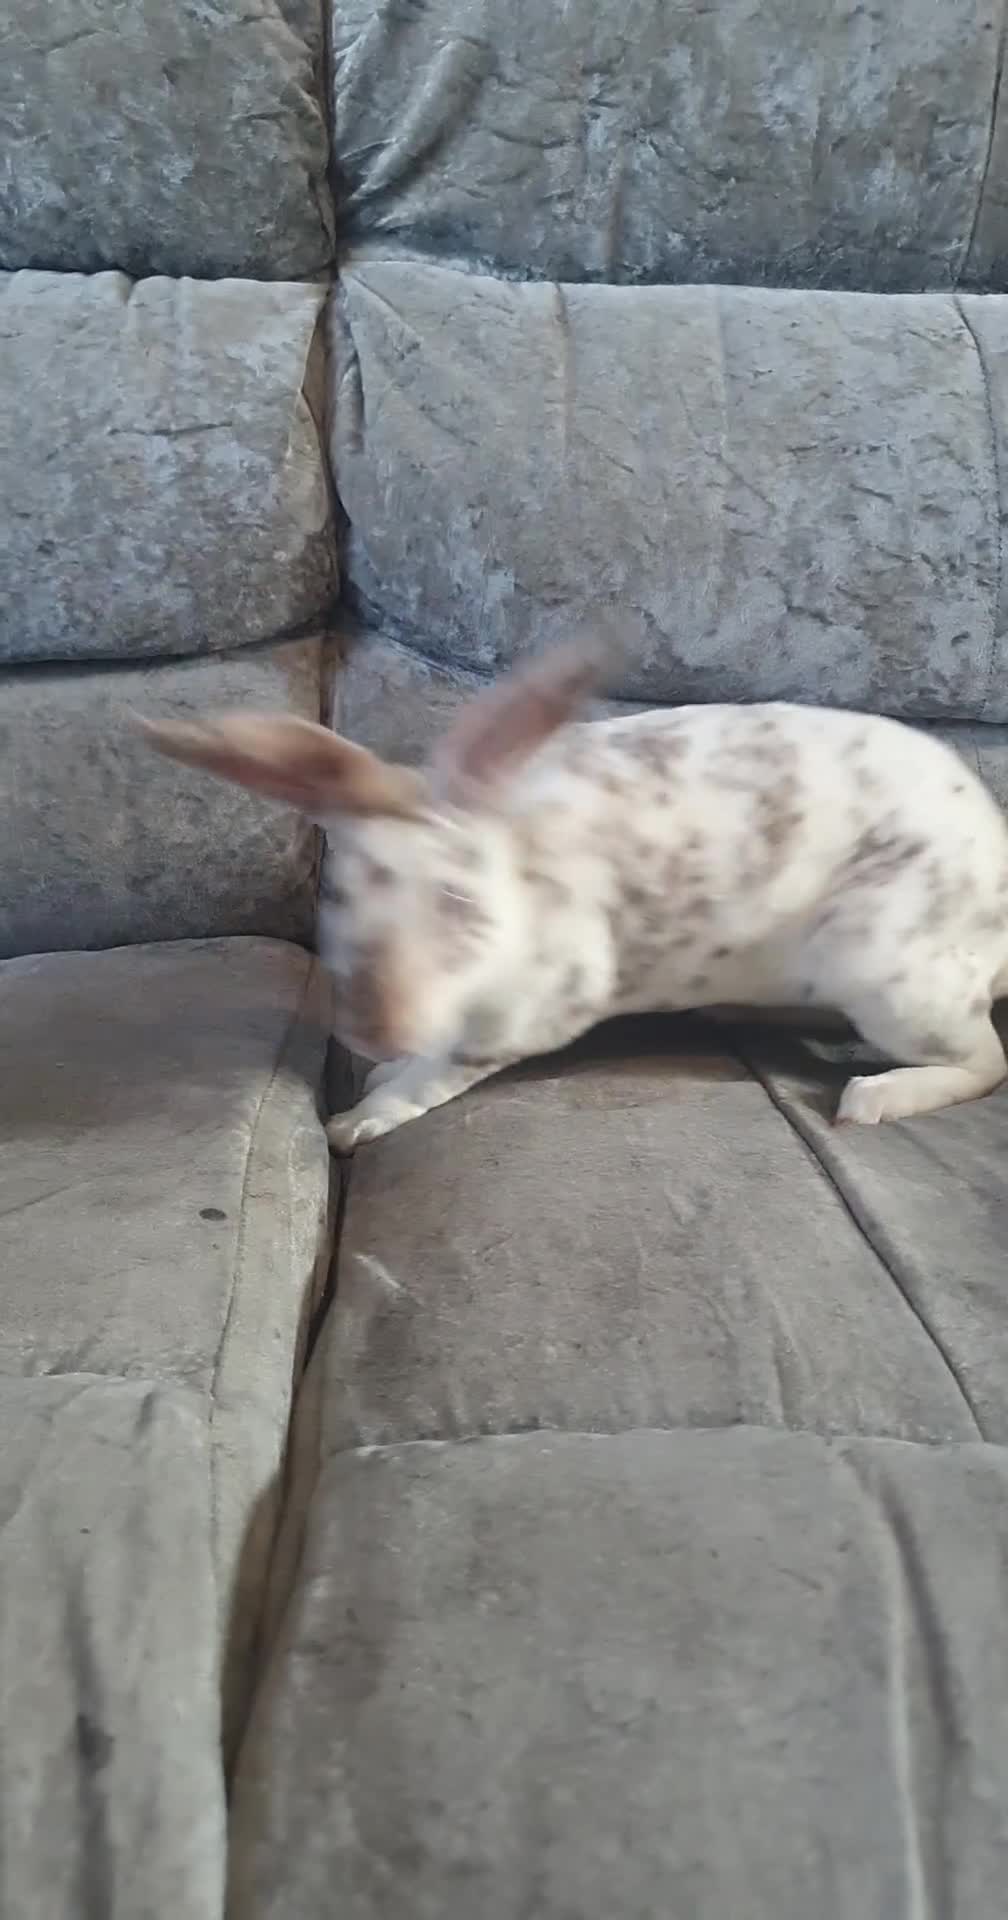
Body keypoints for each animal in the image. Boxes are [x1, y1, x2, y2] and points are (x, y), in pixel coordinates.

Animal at [138, 640, 1008, 1153]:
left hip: (887, 976)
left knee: (985, 1061)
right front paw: (382, 1075)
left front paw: (360, 1118)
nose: (375, 1028)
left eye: (457, 902)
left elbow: (439, 1074)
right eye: (339, 899)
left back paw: (874, 1099)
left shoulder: (527, 1011)